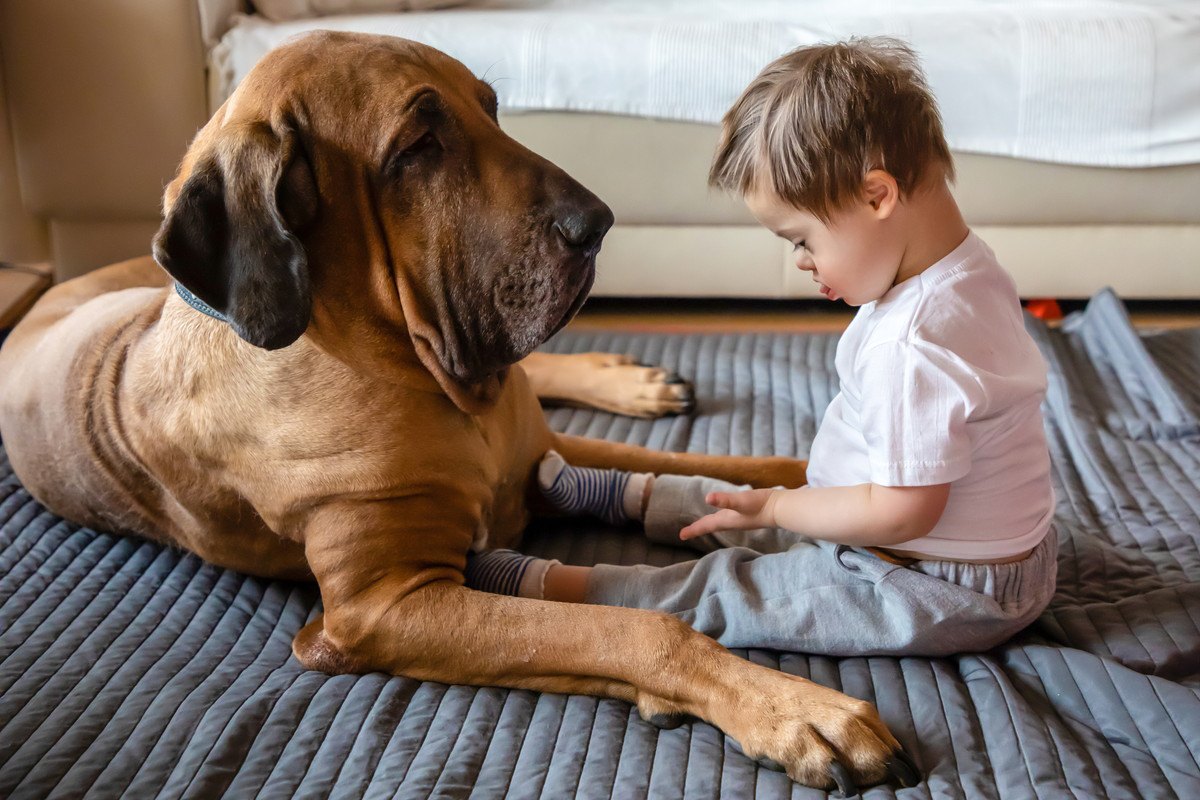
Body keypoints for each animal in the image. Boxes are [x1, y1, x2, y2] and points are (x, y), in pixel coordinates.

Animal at [0, 32, 912, 796]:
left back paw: (630, 380)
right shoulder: (387, 605)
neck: (417, 374)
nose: (599, 224)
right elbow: (630, 629)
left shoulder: (536, 454)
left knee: (545, 374)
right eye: (416, 149)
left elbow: (727, 466)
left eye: (493, 108)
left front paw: (842, 496)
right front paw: (797, 710)